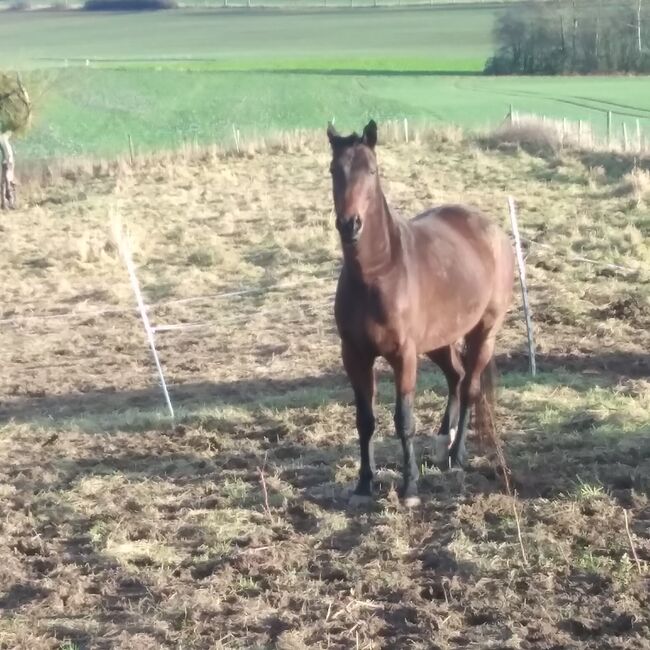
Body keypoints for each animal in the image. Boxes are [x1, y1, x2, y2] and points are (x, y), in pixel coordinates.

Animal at [326, 121, 512, 506]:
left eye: (372, 170)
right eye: (334, 170)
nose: (350, 225)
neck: (379, 272)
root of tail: (493, 231)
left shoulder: (404, 355)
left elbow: (404, 420)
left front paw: (409, 487)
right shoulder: (354, 355)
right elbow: (365, 420)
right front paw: (364, 484)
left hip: (483, 332)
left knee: (469, 387)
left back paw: (456, 455)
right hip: (439, 341)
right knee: (456, 376)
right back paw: (443, 440)